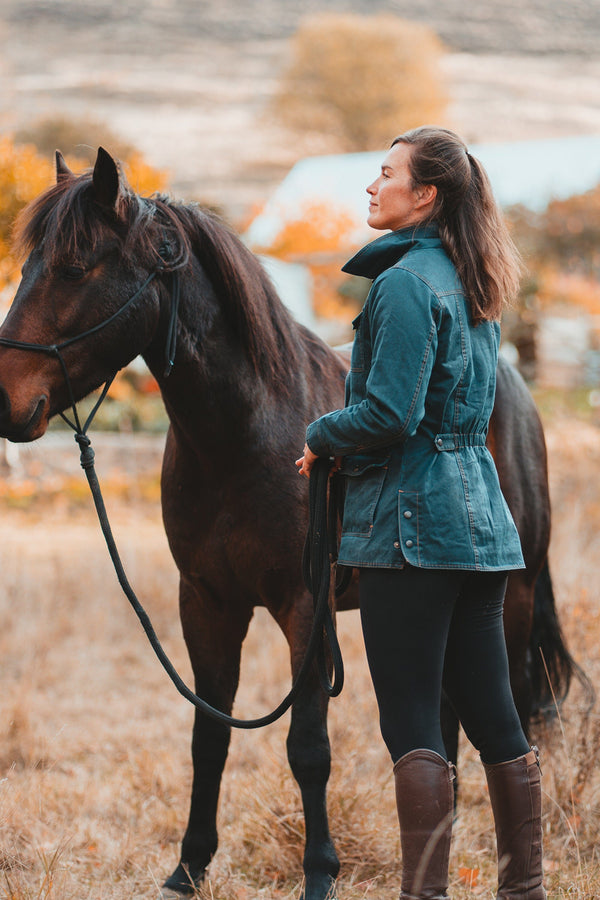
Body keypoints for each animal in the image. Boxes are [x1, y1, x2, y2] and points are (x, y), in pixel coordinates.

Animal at [0, 149, 584, 900]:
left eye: (76, 268)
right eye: (30, 264)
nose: (5, 401)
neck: (245, 433)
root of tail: (514, 385)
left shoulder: (306, 608)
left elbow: (307, 746)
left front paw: (320, 873)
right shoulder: (207, 603)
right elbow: (209, 735)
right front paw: (188, 868)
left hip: (511, 600)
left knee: (510, 717)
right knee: (450, 718)